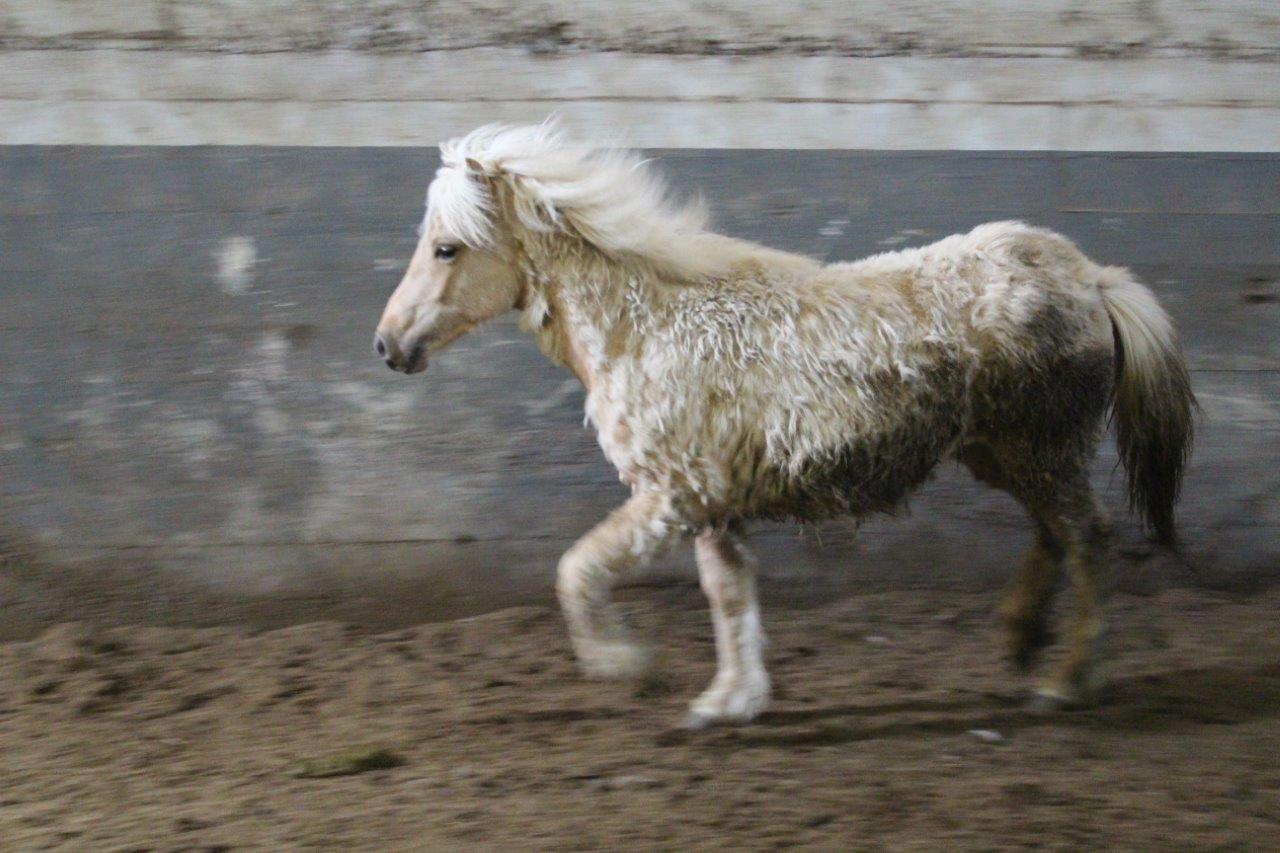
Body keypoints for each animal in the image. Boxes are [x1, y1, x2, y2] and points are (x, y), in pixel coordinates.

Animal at [373, 122, 1192, 727]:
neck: (648, 326)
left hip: (1042, 448)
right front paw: (730, 700)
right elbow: (729, 595)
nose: (388, 345)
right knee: (1055, 536)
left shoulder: (670, 496)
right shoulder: (709, 503)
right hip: (1007, 454)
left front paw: (625, 665)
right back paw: (1021, 641)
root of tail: (1093, 280)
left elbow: (577, 570)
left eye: (446, 248)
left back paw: (1066, 680)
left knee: (1087, 540)